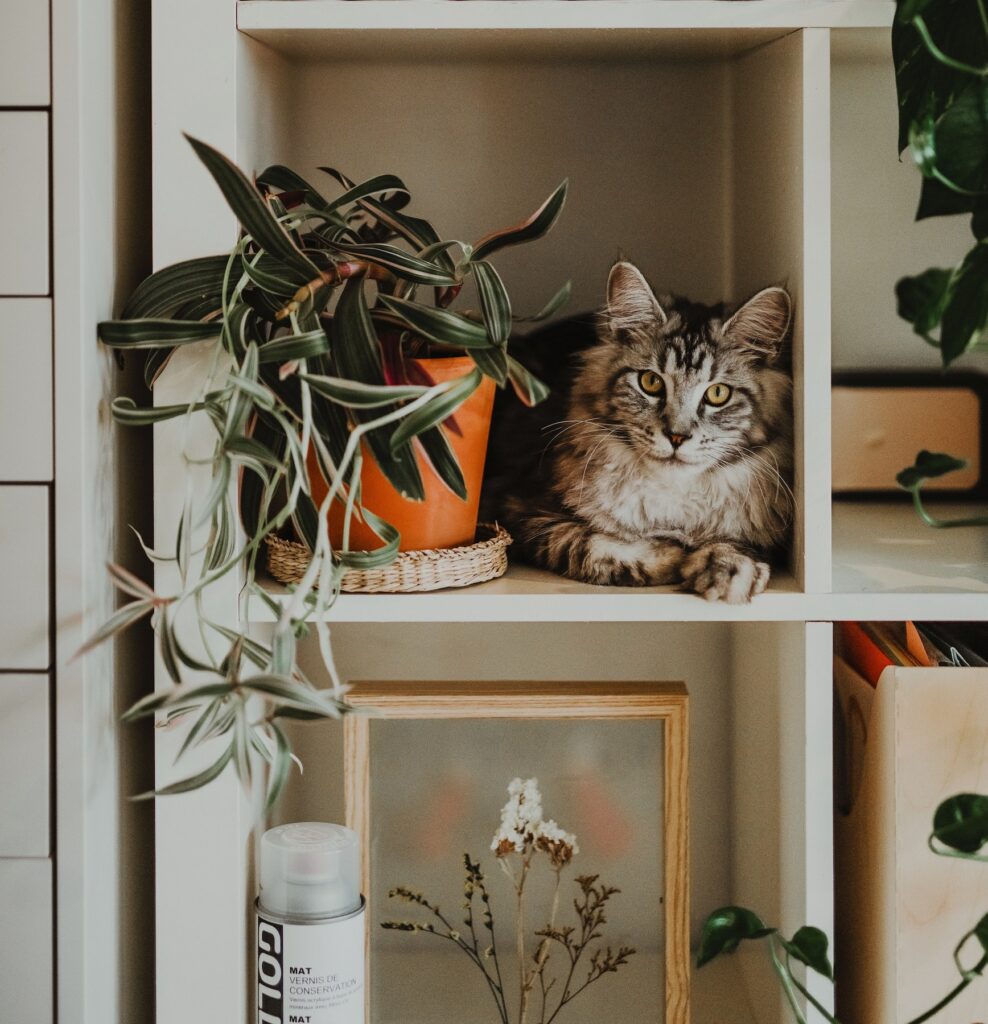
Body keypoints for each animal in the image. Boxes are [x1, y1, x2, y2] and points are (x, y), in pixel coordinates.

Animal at [481, 260, 798, 602]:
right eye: (650, 382)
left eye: (717, 394)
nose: (676, 436)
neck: (673, 499)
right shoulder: (519, 508)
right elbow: (590, 545)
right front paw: (675, 555)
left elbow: (733, 544)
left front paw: (729, 569)